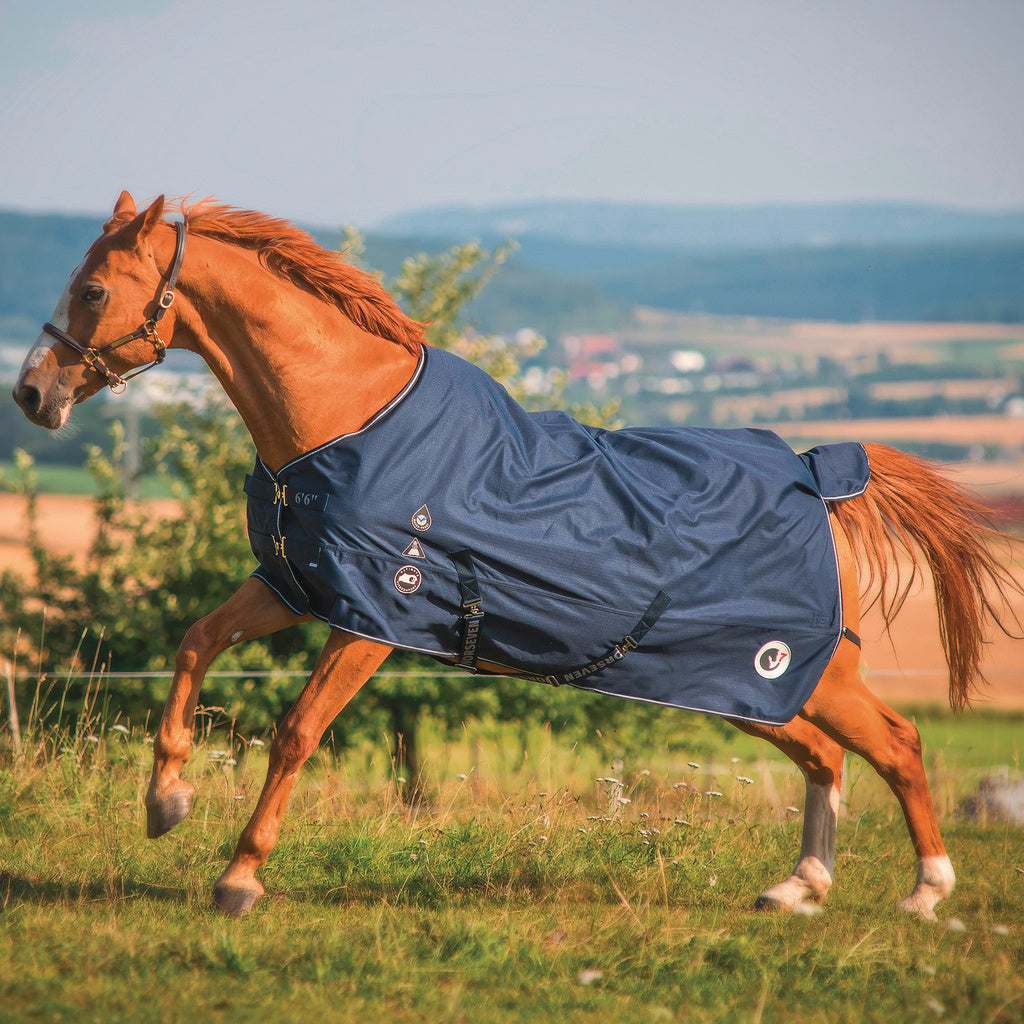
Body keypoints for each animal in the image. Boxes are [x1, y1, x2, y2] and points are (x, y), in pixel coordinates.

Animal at [12, 191, 1020, 920]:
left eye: (93, 291)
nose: (30, 393)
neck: (346, 418)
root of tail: (819, 476)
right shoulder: (296, 587)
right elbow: (193, 642)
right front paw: (165, 803)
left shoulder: (373, 619)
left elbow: (297, 731)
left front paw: (239, 878)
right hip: (740, 685)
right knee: (823, 755)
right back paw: (797, 888)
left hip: (799, 673)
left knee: (895, 743)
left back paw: (924, 893)